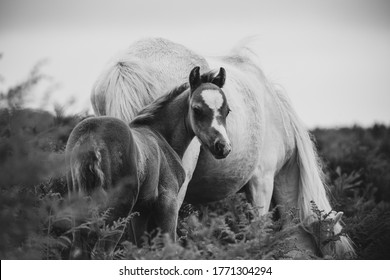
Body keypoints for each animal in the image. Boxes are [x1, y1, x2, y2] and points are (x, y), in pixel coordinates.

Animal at [66, 66, 232, 260]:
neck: (161, 136)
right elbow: (170, 246)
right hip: (117, 210)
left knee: (77, 250)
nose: (222, 147)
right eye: (197, 109)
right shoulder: (168, 202)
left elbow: (141, 249)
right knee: (102, 252)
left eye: (227, 111)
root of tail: (91, 137)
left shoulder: (141, 211)